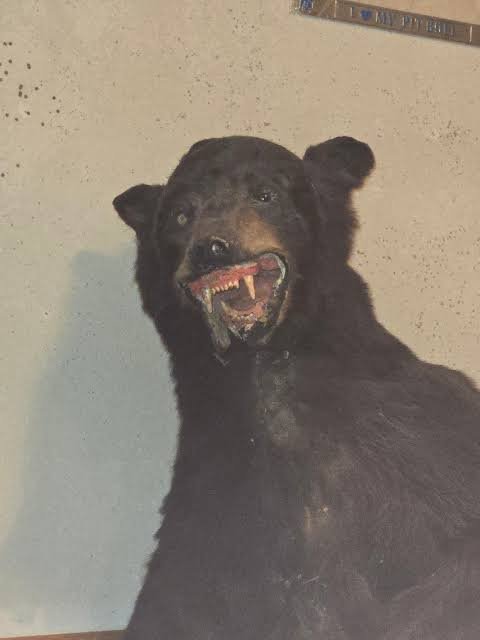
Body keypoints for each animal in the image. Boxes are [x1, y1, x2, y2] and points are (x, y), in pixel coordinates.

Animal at [113, 136, 480, 640]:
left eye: (265, 194)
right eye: (181, 215)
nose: (210, 248)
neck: (263, 372)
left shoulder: (419, 443)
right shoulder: (211, 506)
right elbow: (179, 599)